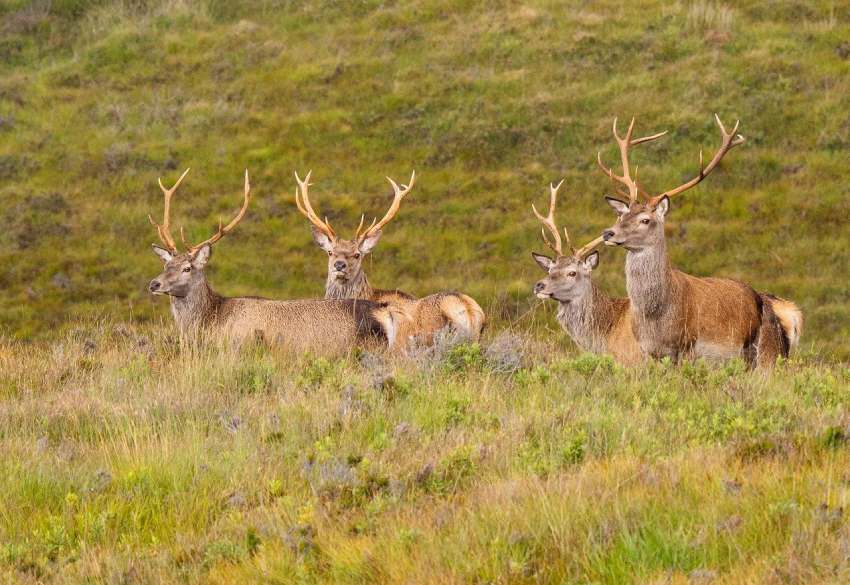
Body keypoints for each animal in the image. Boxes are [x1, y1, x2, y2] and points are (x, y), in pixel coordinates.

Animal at [598, 115, 803, 368]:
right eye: (621, 216)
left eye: (645, 220)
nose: (608, 233)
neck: (655, 318)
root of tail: (789, 313)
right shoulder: (648, 351)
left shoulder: (686, 346)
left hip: (766, 352)